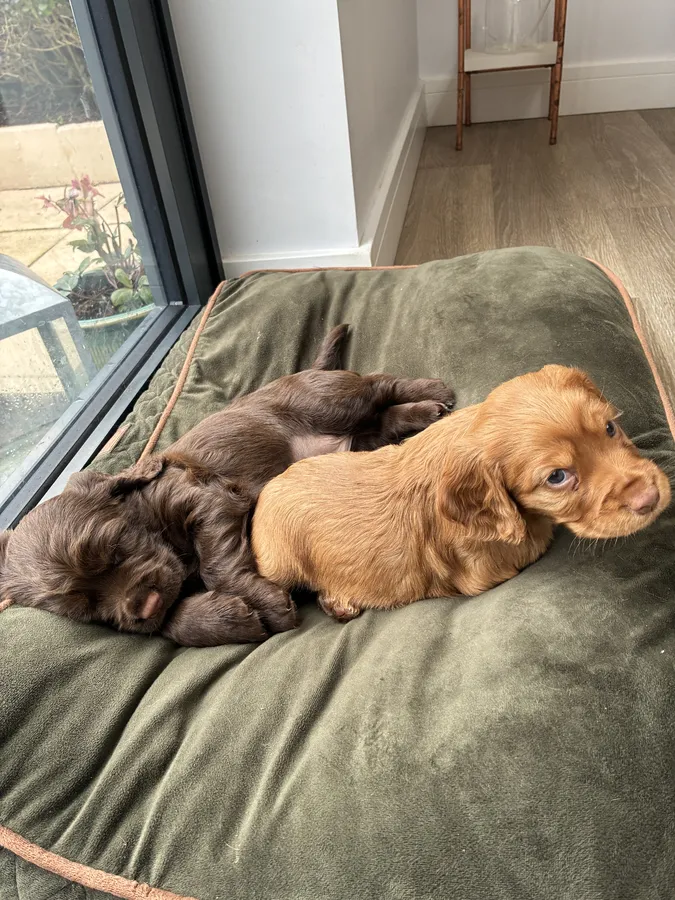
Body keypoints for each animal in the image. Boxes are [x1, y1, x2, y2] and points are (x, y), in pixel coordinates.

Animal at [0, 325, 455, 645]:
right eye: (84, 607)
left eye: (115, 547)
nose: (145, 606)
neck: (145, 510)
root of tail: (307, 371)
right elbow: (170, 623)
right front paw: (230, 619)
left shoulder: (207, 499)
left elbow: (216, 567)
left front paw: (268, 606)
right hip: (357, 438)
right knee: (382, 420)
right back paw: (425, 410)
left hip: (330, 402)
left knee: (377, 383)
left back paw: (434, 389)